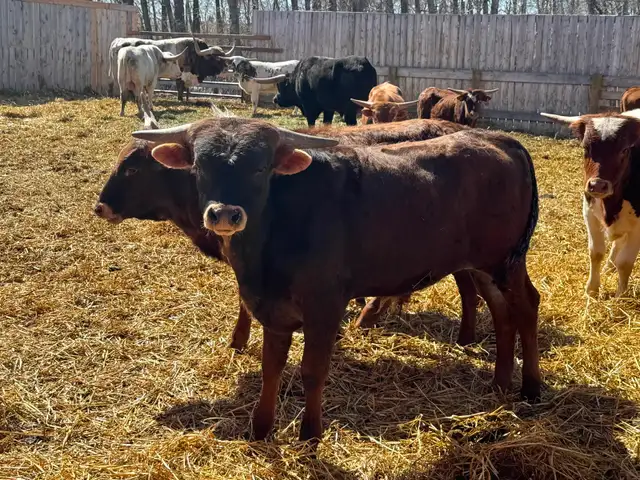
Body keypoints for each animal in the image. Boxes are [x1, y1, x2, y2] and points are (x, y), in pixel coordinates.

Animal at [541, 109, 640, 297]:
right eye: (586, 148)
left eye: (624, 150)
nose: (597, 185)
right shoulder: (589, 213)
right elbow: (596, 253)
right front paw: (592, 289)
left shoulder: (638, 227)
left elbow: (625, 262)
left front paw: (620, 295)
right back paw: (609, 266)